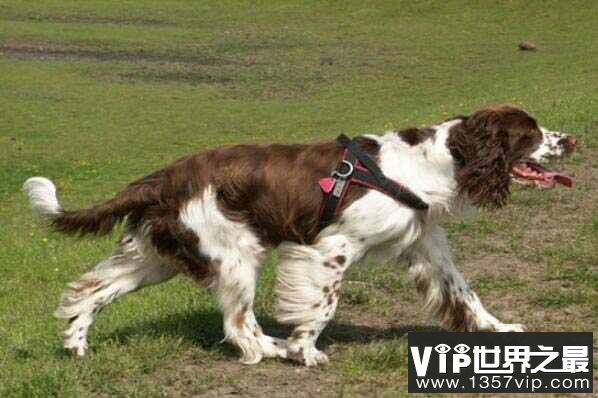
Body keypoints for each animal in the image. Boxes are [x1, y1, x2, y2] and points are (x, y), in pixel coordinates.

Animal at [23, 104, 576, 366]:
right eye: (530, 133)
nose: (570, 139)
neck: (429, 163)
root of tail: (166, 175)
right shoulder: (330, 248)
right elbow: (322, 306)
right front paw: (305, 350)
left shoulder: (427, 247)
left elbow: (467, 296)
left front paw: (501, 332)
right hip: (235, 254)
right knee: (238, 325)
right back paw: (271, 349)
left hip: (158, 256)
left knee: (90, 290)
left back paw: (76, 345)